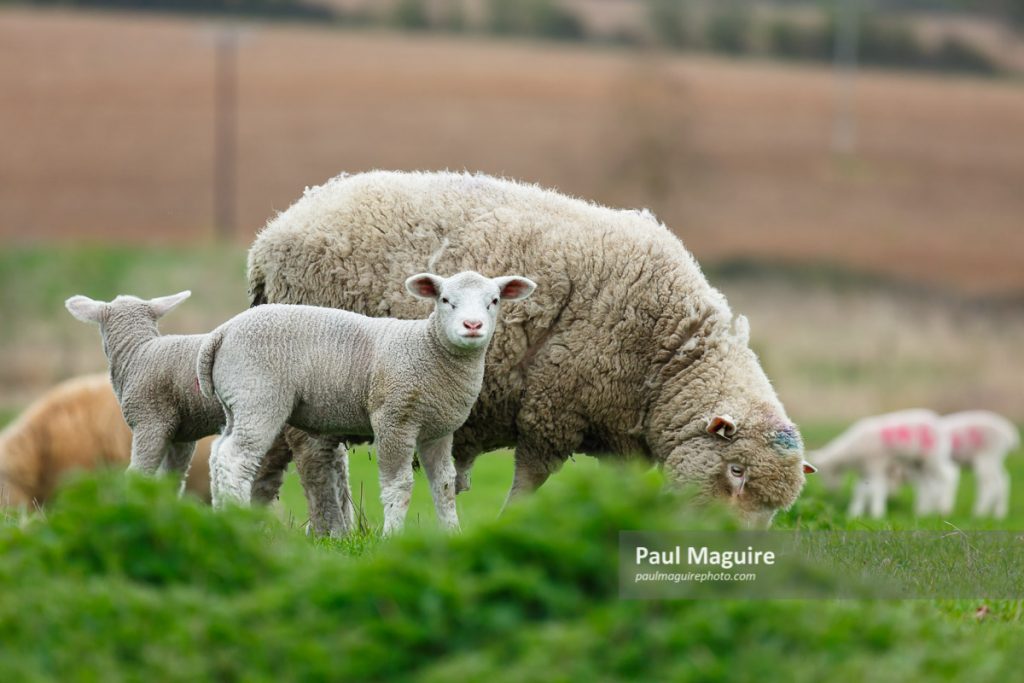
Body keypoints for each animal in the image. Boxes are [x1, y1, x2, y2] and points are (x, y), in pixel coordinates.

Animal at [197, 270, 536, 536]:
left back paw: (222, 517)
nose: (472, 326)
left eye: (494, 301)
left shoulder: (438, 431)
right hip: (258, 397)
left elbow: (444, 486)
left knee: (218, 454)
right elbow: (399, 486)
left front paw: (452, 532)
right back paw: (235, 519)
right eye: (445, 300)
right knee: (235, 458)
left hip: (236, 403)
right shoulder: (394, 419)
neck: (428, 349)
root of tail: (222, 333)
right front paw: (392, 536)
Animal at [245, 170, 813, 526]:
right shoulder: (552, 411)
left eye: (777, 508)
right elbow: (528, 485)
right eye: (736, 471)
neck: (668, 354)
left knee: (266, 453)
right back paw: (333, 531)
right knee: (316, 461)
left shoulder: (617, 435)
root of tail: (272, 236)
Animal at [809, 409, 959, 518]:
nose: (831, 489)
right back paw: (922, 511)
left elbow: (878, 489)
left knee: (949, 475)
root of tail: (940, 424)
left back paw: (945, 508)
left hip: (934, 455)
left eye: (825, 472)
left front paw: (877, 513)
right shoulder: (865, 470)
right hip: (918, 463)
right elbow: (860, 490)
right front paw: (855, 512)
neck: (851, 451)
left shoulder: (876, 463)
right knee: (926, 484)